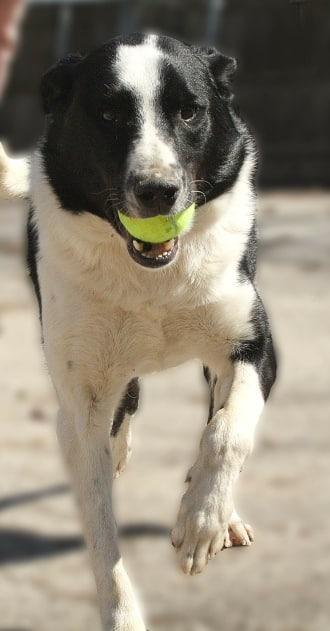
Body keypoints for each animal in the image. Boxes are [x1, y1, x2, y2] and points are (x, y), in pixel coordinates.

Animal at [0, 32, 276, 628]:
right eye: (107, 113)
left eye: (190, 111)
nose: (158, 191)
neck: (152, 280)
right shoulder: (81, 399)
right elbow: (101, 527)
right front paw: (123, 614)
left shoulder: (253, 346)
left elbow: (227, 429)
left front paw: (202, 521)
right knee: (123, 407)